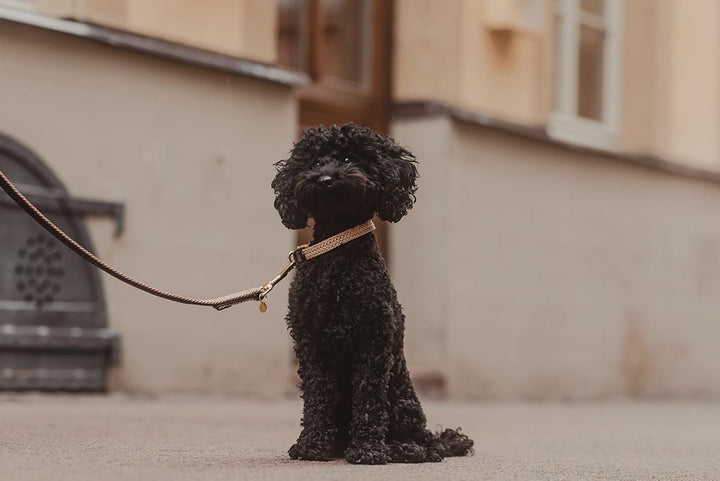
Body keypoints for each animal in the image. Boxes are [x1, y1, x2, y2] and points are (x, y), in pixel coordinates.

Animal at [270, 123, 472, 462]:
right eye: (314, 162)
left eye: (349, 157)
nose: (325, 178)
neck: (338, 254)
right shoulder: (311, 341)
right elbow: (317, 397)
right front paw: (312, 445)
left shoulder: (373, 340)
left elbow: (368, 398)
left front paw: (367, 450)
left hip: (401, 395)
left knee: (422, 441)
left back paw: (405, 448)